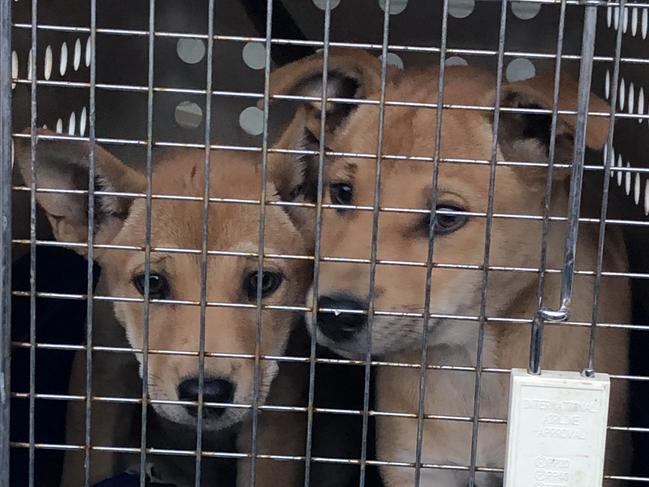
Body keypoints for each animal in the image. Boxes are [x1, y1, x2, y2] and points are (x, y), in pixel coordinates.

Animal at [16, 133, 316, 487]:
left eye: (262, 281)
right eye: (151, 282)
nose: (205, 392)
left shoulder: (275, 419)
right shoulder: (102, 381)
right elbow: (88, 464)